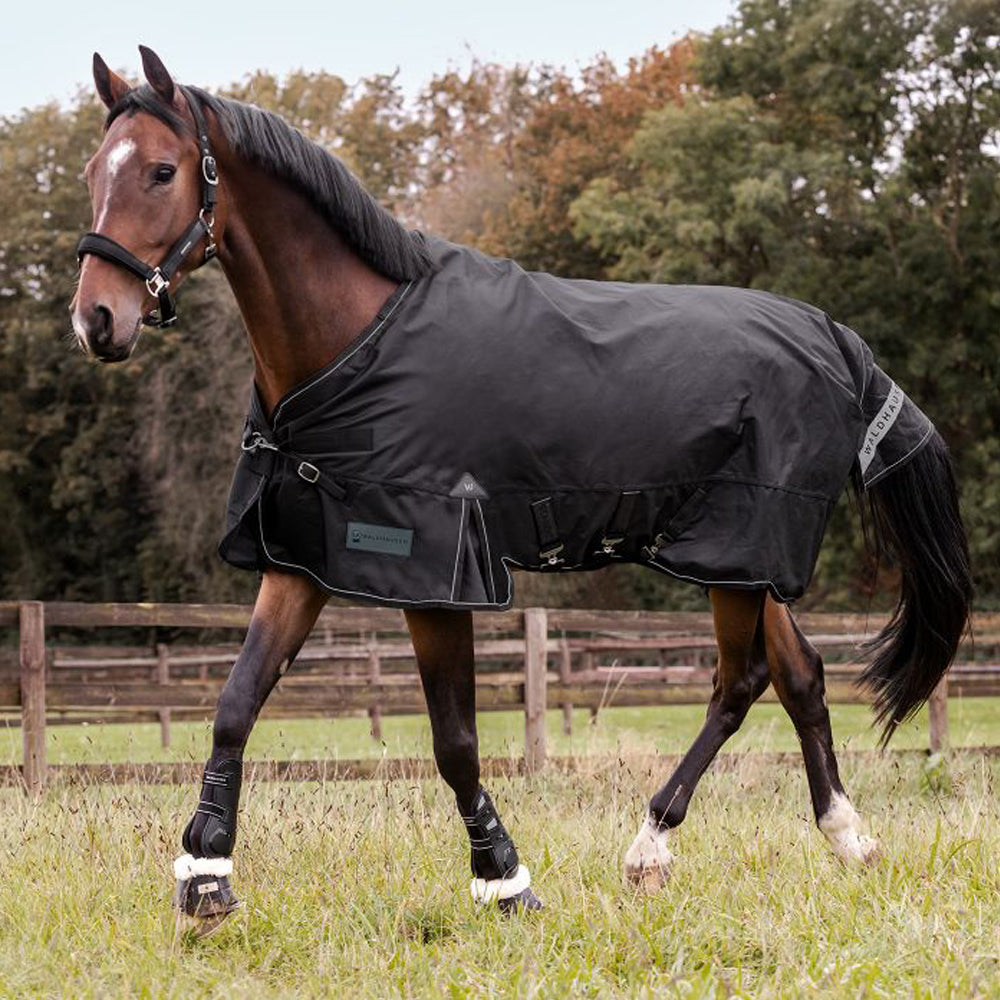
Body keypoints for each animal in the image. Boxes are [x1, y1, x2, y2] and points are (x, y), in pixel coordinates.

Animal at [70, 46, 972, 935]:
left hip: (740, 546)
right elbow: (236, 702)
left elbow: (455, 742)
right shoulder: (303, 557)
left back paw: (650, 846)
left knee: (739, 682)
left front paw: (505, 880)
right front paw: (205, 878)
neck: (357, 340)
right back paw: (847, 837)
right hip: (743, 558)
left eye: (160, 171)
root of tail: (835, 337)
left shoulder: (436, 571)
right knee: (800, 675)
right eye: (90, 172)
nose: (96, 322)